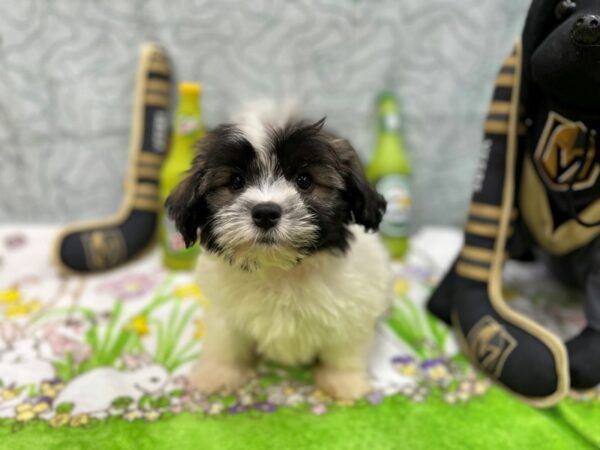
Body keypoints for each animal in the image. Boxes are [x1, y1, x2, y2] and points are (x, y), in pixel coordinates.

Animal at [168, 103, 394, 400]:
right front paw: (218, 373)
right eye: (237, 182)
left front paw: (344, 383)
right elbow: (225, 342)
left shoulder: (353, 311)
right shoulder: (224, 311)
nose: (265, 212)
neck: (279, 270)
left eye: (304, 181)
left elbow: (344, 351)